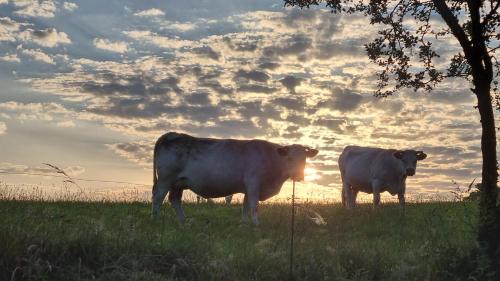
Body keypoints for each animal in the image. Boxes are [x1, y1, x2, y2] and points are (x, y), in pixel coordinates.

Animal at [151, 131, 320, 223]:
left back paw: (184, 221)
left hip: (178, 183)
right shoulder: (253, 183)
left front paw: (244, 224)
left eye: (304, 159)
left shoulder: (247, 188)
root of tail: (171, 134)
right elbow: (254, 206)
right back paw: (156, 219)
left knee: (174, 199)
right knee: (158, 197)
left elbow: (245, 206)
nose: (298, 175)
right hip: (166, 179)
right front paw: (256, 225)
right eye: (289, 158)